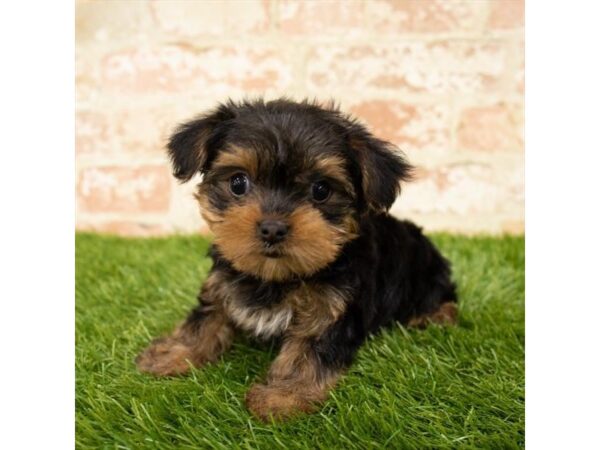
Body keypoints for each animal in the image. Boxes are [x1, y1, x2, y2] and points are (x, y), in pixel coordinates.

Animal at [135, 98, 454, 422]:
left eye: (321, 190)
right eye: (238, 183)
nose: (272, 228)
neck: (275, 276)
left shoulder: (331, 309)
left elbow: (307, 351)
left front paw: (282, 397)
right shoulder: (221, 283)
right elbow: (205, 319)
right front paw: (173, 353)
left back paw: (435, 316)